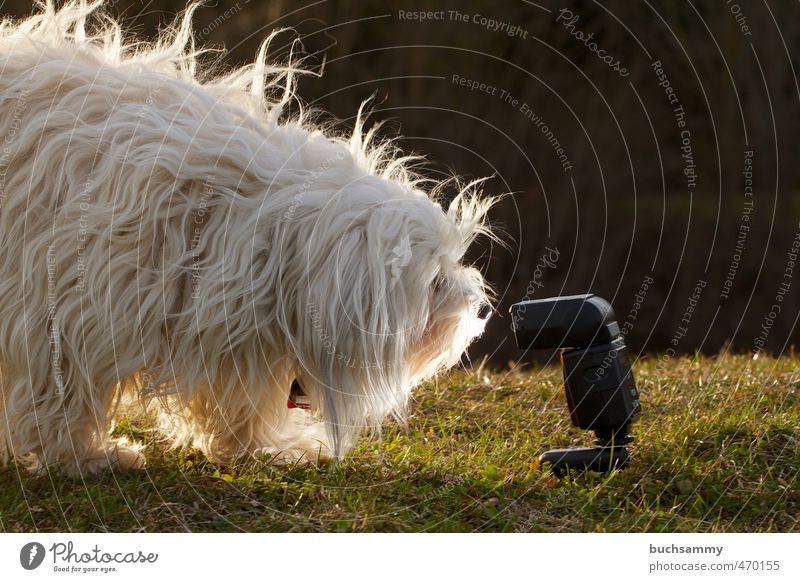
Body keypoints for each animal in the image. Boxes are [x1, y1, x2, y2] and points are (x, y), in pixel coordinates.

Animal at [0, 1, 494, 480]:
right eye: (435, 281)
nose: (480, 308)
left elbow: (241, 399)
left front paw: (268, 447)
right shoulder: (68, 306)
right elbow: (62, 388)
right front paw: (81, 457)